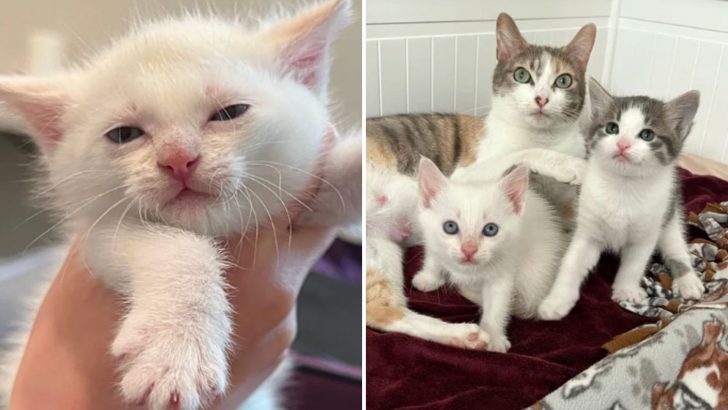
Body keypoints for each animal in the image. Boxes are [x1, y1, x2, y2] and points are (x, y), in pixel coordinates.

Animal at [0, 1, 358, 408]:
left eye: (230, 112)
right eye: (124, 134)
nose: (178, 158)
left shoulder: (306, 193)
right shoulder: (97, 235)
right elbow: (176, 246)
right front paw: (175, 349)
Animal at [412, 158, 564, 352]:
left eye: (491, 229)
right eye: (450, 227)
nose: (469, 249)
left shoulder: (505, 268)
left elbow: (497, 304)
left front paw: (493, 336)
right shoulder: (432, 240)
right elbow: (434, 257)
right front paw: (428, 278)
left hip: (536, 272)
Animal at [540, 77, 704, 320]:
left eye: (647, 135)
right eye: (612, 128)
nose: (622, 144)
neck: (624, 186)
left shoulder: (646, 231)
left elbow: (634, 264)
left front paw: (626, 290)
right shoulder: (588, 228)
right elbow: (572, 263)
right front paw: (557, 300)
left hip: (670, 214)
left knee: (676, 246)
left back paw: (688, 279)